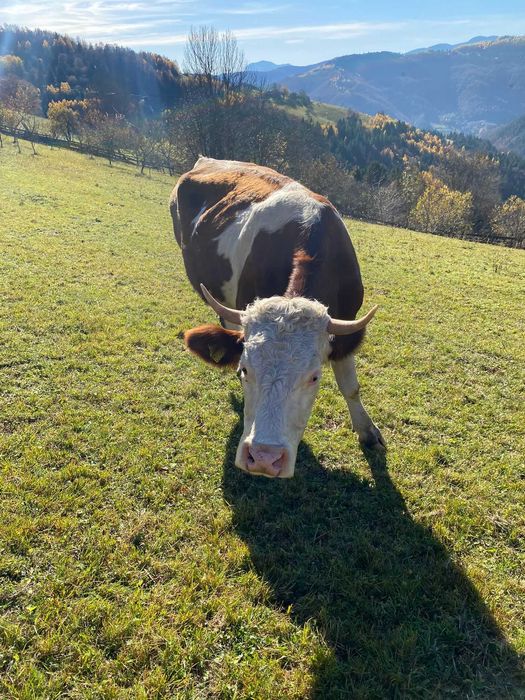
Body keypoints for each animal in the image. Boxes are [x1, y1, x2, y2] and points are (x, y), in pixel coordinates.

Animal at [170, 156, 384, 478]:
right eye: (245, 369)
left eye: (314, 377)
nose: (263, 458)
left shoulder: (347, 321)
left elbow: (351, 387)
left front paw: (368, 432)